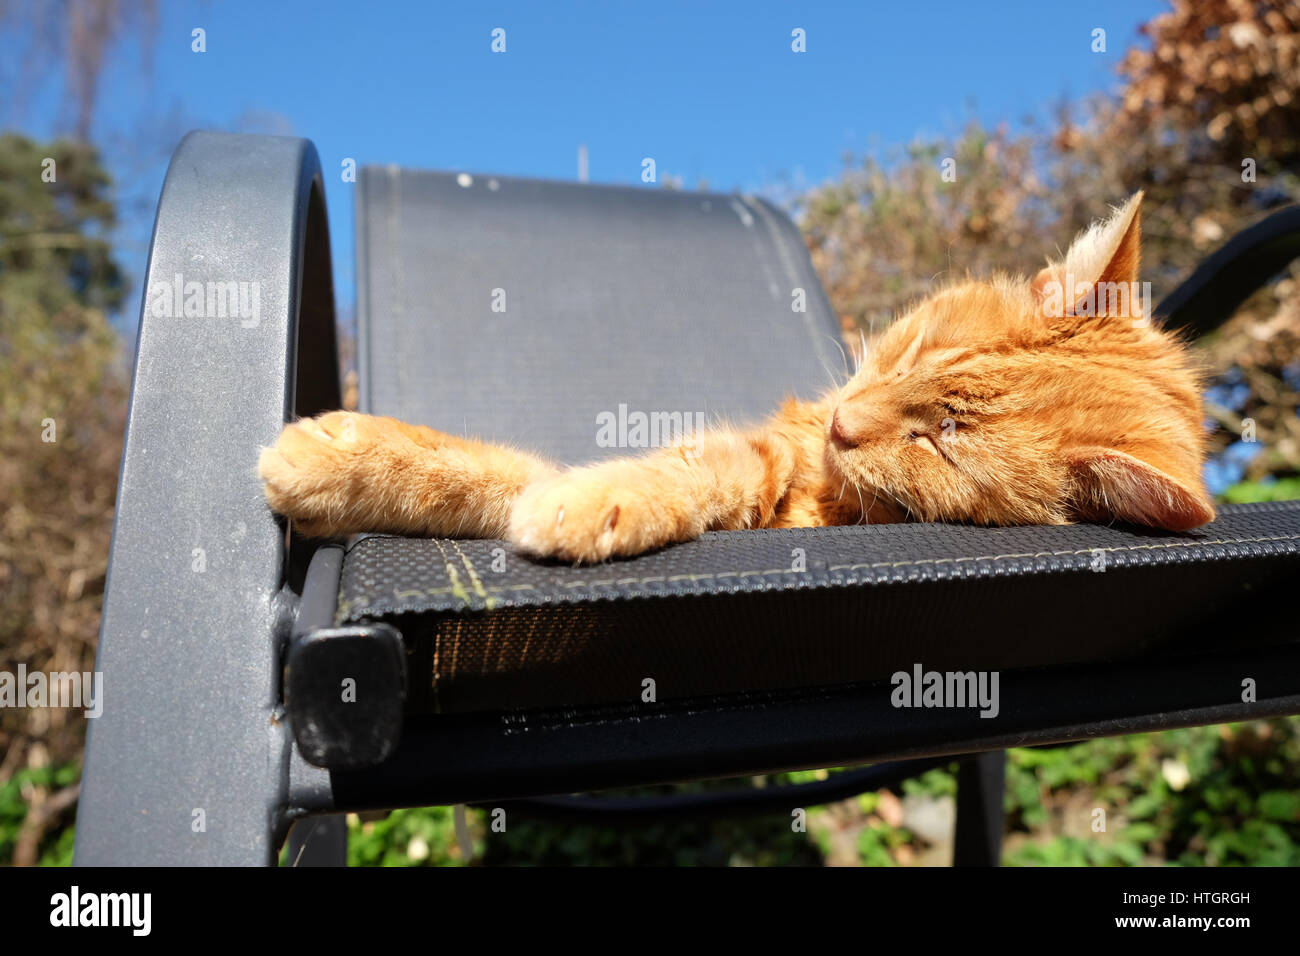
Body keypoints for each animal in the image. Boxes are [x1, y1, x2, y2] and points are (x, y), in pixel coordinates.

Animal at [261, 196, 1216, 567]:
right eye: (913, 352)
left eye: (941, 444)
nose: (844, 426)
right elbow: (505, 469)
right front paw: (350, 462)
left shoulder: (765, 478)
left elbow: (676, 476)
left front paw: (593, 502)